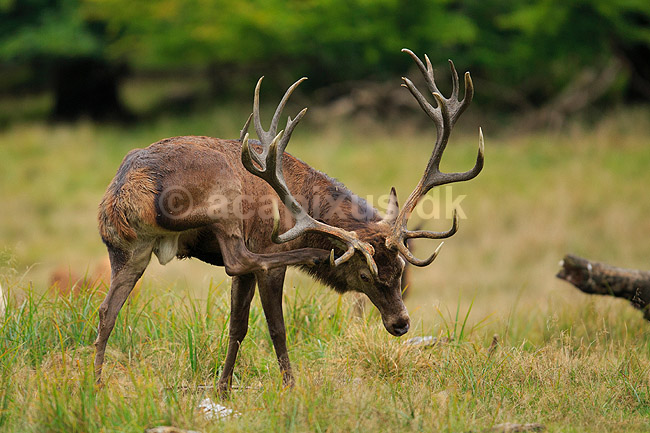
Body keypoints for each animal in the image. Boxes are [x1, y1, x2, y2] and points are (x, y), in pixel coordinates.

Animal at [95, 49, 484, 393]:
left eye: (401, 270)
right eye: (364, 275)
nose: (401, 324)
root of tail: (129, 192)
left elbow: (237, 326)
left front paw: (223, 389)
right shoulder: (265, 246)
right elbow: (275, 327)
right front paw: (290, 386)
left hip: (129, 249)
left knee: (106, 310)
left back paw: (96, 385)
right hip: (225, 200)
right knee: (239, 258)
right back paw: (314, 256)